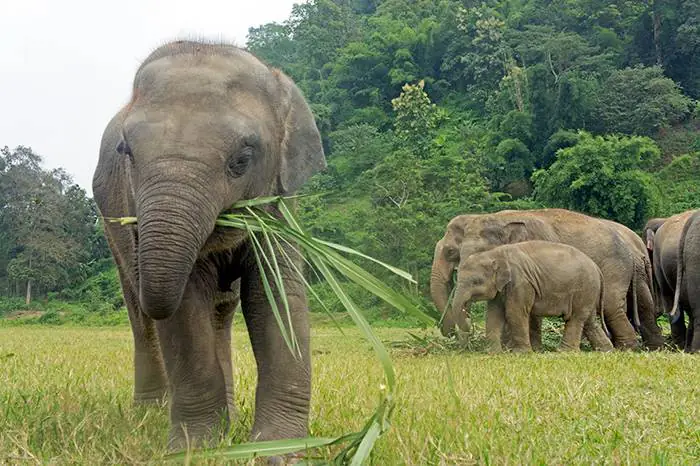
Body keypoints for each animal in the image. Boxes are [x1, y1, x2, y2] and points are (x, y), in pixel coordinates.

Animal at [92, 41, 327, 451]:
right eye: (127, 152)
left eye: (242, 159)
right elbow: (186, 307)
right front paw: (192, 449)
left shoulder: (280, 205)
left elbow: (277, 296)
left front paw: (277, 450)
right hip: (112, 225)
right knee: (140, 313)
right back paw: (151, 414)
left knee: (220, 311)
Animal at [448, 240, 613, 353]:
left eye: (476, 281)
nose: (469, 321)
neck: (495, 253)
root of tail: (597, 268)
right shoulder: (502, 288)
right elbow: (494, 315)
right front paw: (493, 353)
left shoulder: (521, 282)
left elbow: (514, 313)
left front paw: (521, 353)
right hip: (589, 292)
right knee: (589, 321)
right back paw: (606, 351)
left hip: (583, 288)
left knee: (575, 318)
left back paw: (564, 352)